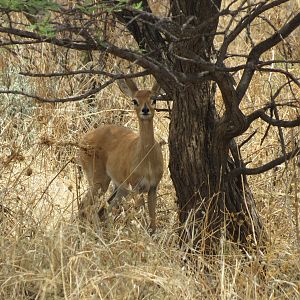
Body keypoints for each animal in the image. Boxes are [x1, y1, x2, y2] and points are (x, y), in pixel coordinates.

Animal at [77, 74, 164, 232]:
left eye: (153, 99)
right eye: (135, 100)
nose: (145, 110)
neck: (147, 159)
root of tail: (84, 139)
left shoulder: (153, 187)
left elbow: (152, 221)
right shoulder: (135, 188)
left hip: (120, 189)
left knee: (102, 211)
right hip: (100, 182)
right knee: (87, 207)